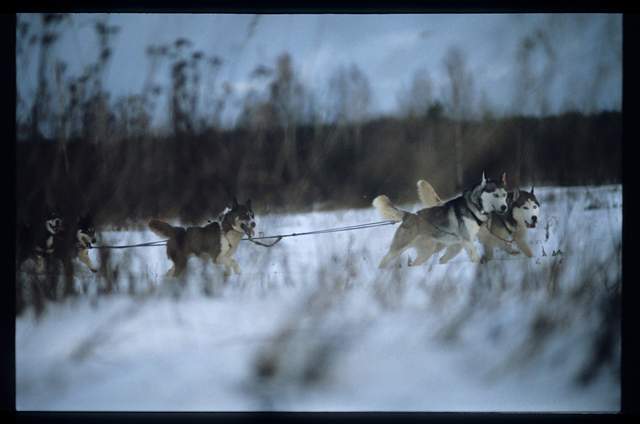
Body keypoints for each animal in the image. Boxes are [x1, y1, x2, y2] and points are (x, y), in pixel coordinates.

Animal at [372, 173, 508, 268]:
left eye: (505, 195)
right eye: (495, 195)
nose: (504, 207)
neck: (476, 208)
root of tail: (409, 215)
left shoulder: (478, 237)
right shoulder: (467, 241)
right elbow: (476, 258)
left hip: (437, 249)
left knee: (427, 262)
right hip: (399, 248)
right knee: (385, 259)